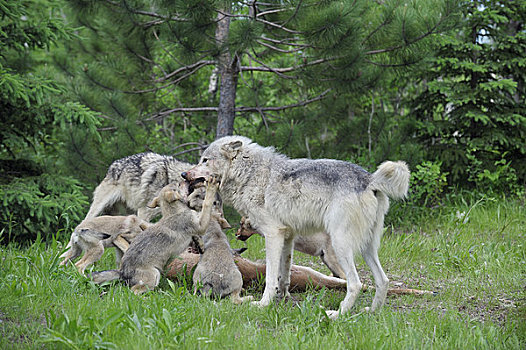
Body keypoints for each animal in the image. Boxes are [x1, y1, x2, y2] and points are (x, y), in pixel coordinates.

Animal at [92, 176, 220, 294]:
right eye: (179, 184)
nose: (184, 177)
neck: (174, 211)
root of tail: (122, 272)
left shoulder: (195, 230)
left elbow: (196, 237)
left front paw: (201, 246)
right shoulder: (200, 225)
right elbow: (207, 204)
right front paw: (211, 187)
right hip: (154, 275)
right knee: (133, 291)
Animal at [184, 137, 410, 320]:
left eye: (205, 160)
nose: (184, 174)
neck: (249, 174)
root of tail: (370, 179)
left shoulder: (273, 235)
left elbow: (270, 277)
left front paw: (263, 304)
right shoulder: (288, 236)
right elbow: (284, 276)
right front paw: (283, 299)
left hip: (341, 246)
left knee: (355, 284)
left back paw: (337, 314)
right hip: (367, 248)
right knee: (383, 280)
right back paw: (372, 312)